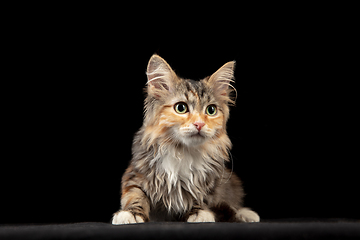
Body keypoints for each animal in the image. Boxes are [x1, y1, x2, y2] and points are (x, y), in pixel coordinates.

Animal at [111, 54, 260, 223]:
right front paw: (131, 214)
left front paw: (199, 212)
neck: (182, 151)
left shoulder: (209, 182)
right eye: (181, 108)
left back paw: (246, 214)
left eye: (211, 110)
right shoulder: (135, 174)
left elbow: (201, 196)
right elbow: (135, 194)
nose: (199, 124)